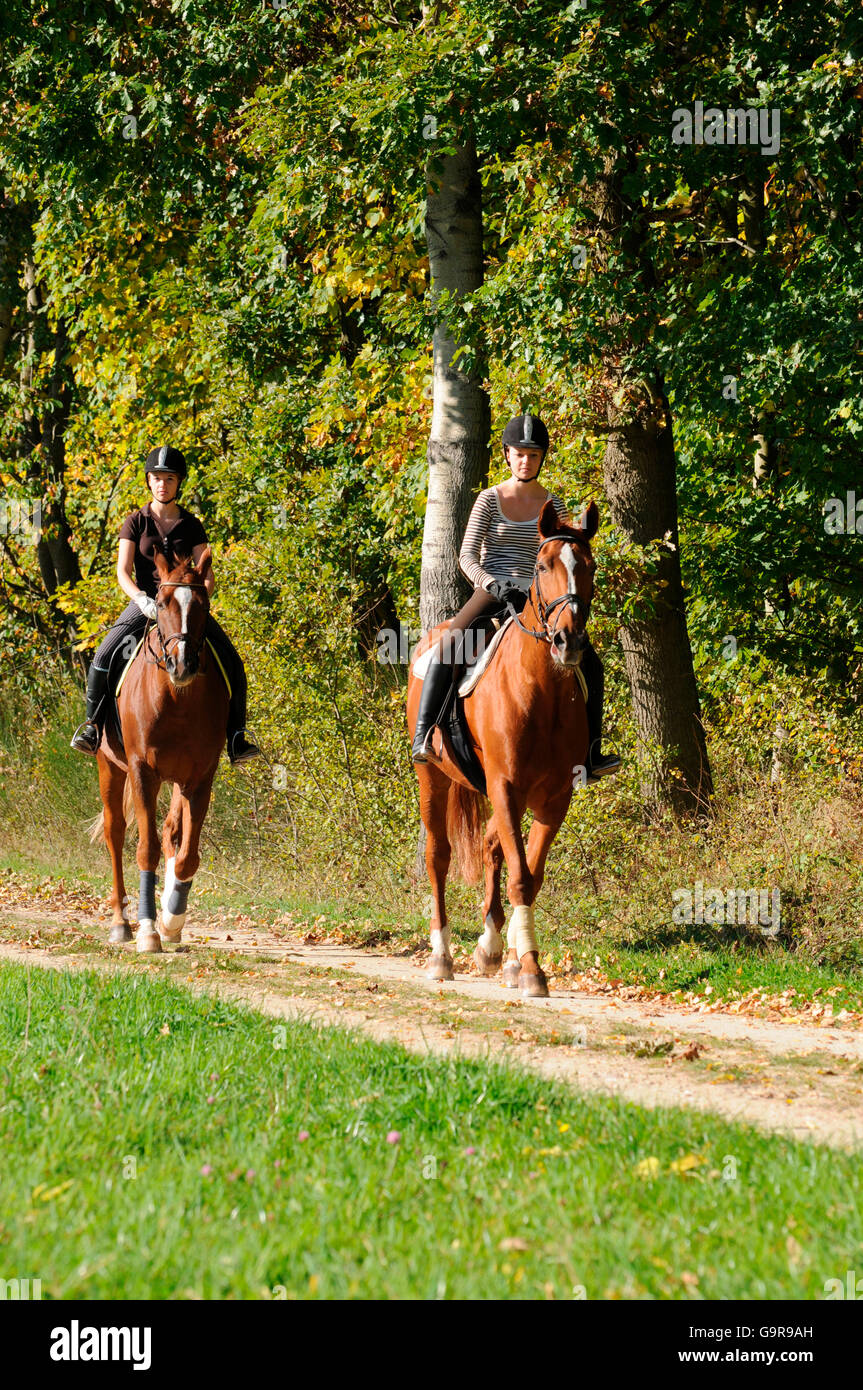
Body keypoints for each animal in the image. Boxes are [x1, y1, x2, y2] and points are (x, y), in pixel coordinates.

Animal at [91, 547, 229, 950]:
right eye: (163, 602)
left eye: (203, 602)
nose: (182, 664)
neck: (176, 699)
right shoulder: (142, 772)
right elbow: (146, 848)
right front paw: (149, 931)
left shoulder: (200, 777)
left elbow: (186, 854)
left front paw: (171, 920)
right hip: (110, 766)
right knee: (115, 832)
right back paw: (121, 923)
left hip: (178, 780)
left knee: (171, 833)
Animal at [405, 500, 600, 1000]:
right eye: (542, 566)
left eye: (589, 567)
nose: (568, 641)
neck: (542, 692)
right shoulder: (507, 786)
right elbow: (521, 876)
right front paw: (530, 969)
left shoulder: (555, 798)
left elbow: (530, 873)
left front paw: (516, 960)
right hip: (433, 779)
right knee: (439, 857)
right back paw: (441, 956)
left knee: (492, 844)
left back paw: (493, 947)